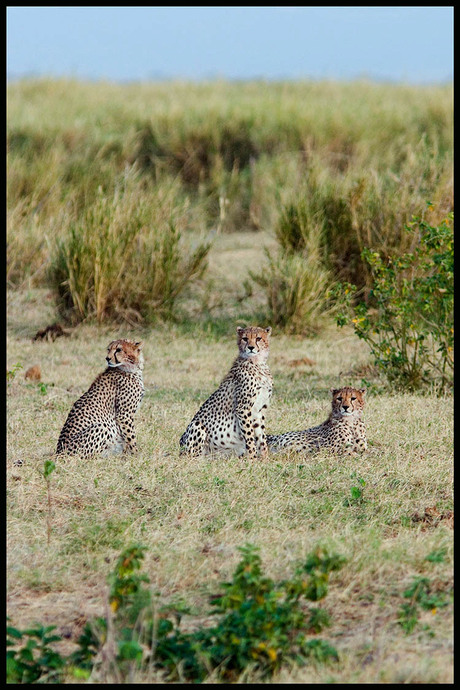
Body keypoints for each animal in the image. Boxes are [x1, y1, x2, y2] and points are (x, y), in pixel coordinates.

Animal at [180, 326, 274, 460]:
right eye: (245, 339)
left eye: (258, 338)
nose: (251, 347)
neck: (258, 363)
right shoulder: (243, 409)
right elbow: (250, 437)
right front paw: (252, 459)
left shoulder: (259, 410)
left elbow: (261, 437)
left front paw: (265, 459)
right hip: (196, 425)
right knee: (193, 455)